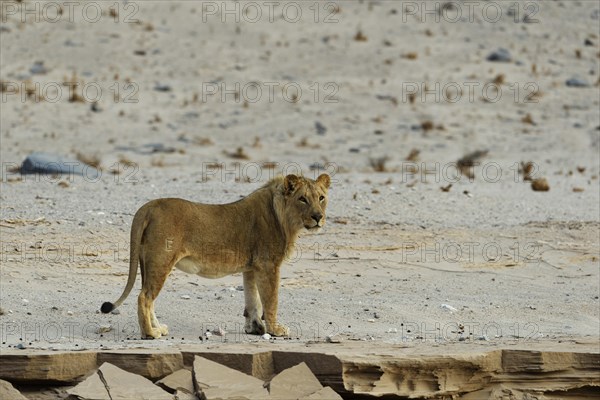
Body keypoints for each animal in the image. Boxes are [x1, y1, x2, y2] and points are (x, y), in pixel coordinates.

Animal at [100, 173, 330, 340]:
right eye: (302, 199)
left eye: (321, 198)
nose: (318, 217)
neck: (285, 218)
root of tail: (148, 206)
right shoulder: (268, 265)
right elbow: (271, 299)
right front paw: (275, 330)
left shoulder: (251, 267)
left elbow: (252, 298)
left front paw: (255, 327)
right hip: (160, 261)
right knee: (144, 297)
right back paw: (149, 334)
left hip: (148, 264)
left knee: (148, 298)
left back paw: (158, 328)